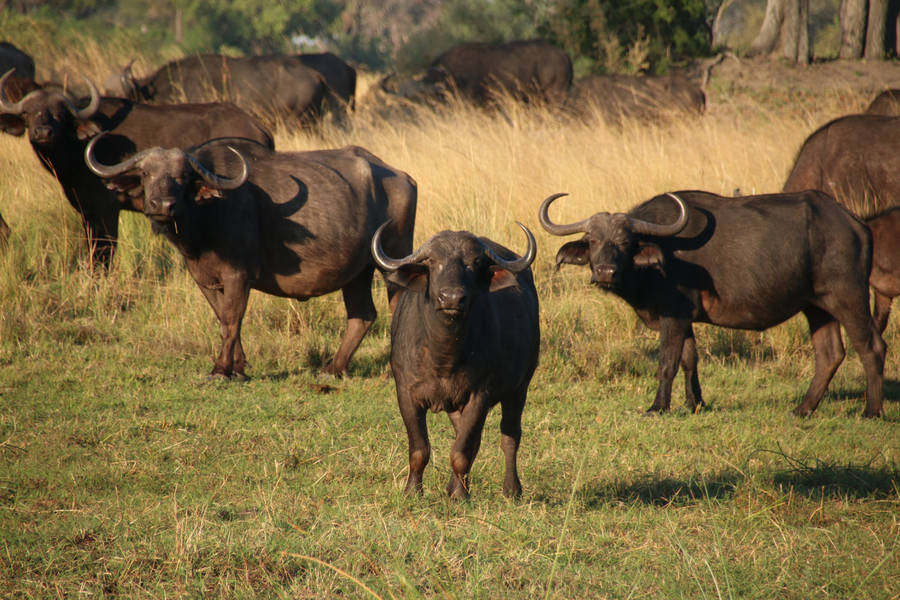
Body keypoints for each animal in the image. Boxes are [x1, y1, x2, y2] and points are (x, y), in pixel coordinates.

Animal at [0, 69, 273, 269]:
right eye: (28, 113)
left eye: (59, 114)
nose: (42, 132)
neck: (76, 148)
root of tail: (258, 127)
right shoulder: (87, 212)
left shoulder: (106, 210)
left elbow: (104, 254)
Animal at [86, 136, 417, 378]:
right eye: (146, 173)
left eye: (183, 176)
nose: (163, 205)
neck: (206, 217)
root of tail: (403, 178)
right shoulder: (204, 279)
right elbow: (223, 318)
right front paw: (239, 367)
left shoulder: (238, 275)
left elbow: (232, 319)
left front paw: (221, 370)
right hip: (358, 272)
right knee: (362, 315)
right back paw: (333, 368)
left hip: (394, 258)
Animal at [371, 222, 539, 499]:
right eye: (432, 261)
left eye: (475, 262)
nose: (451, 298)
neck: (443, 356)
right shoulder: (406, 393)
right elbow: (420, 449)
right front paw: (413, 491)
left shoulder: (480, 396)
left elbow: (461, 451)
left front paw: (460, 495)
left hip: (519, 388)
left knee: (509, 436)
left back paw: (511, 489)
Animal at [539, 190, 885, 418]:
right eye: (593, 241)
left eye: (626, 242)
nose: (605, 272)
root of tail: (856, 224)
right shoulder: (685, 318)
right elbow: (689, 359)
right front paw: (695, 403)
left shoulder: (673, 316)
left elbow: (667, 361)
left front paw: (658, 407)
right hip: (816, 307)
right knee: (830, 354)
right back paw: (802, 408)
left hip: (848, 296)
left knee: (871, 346)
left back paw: (871, 410)